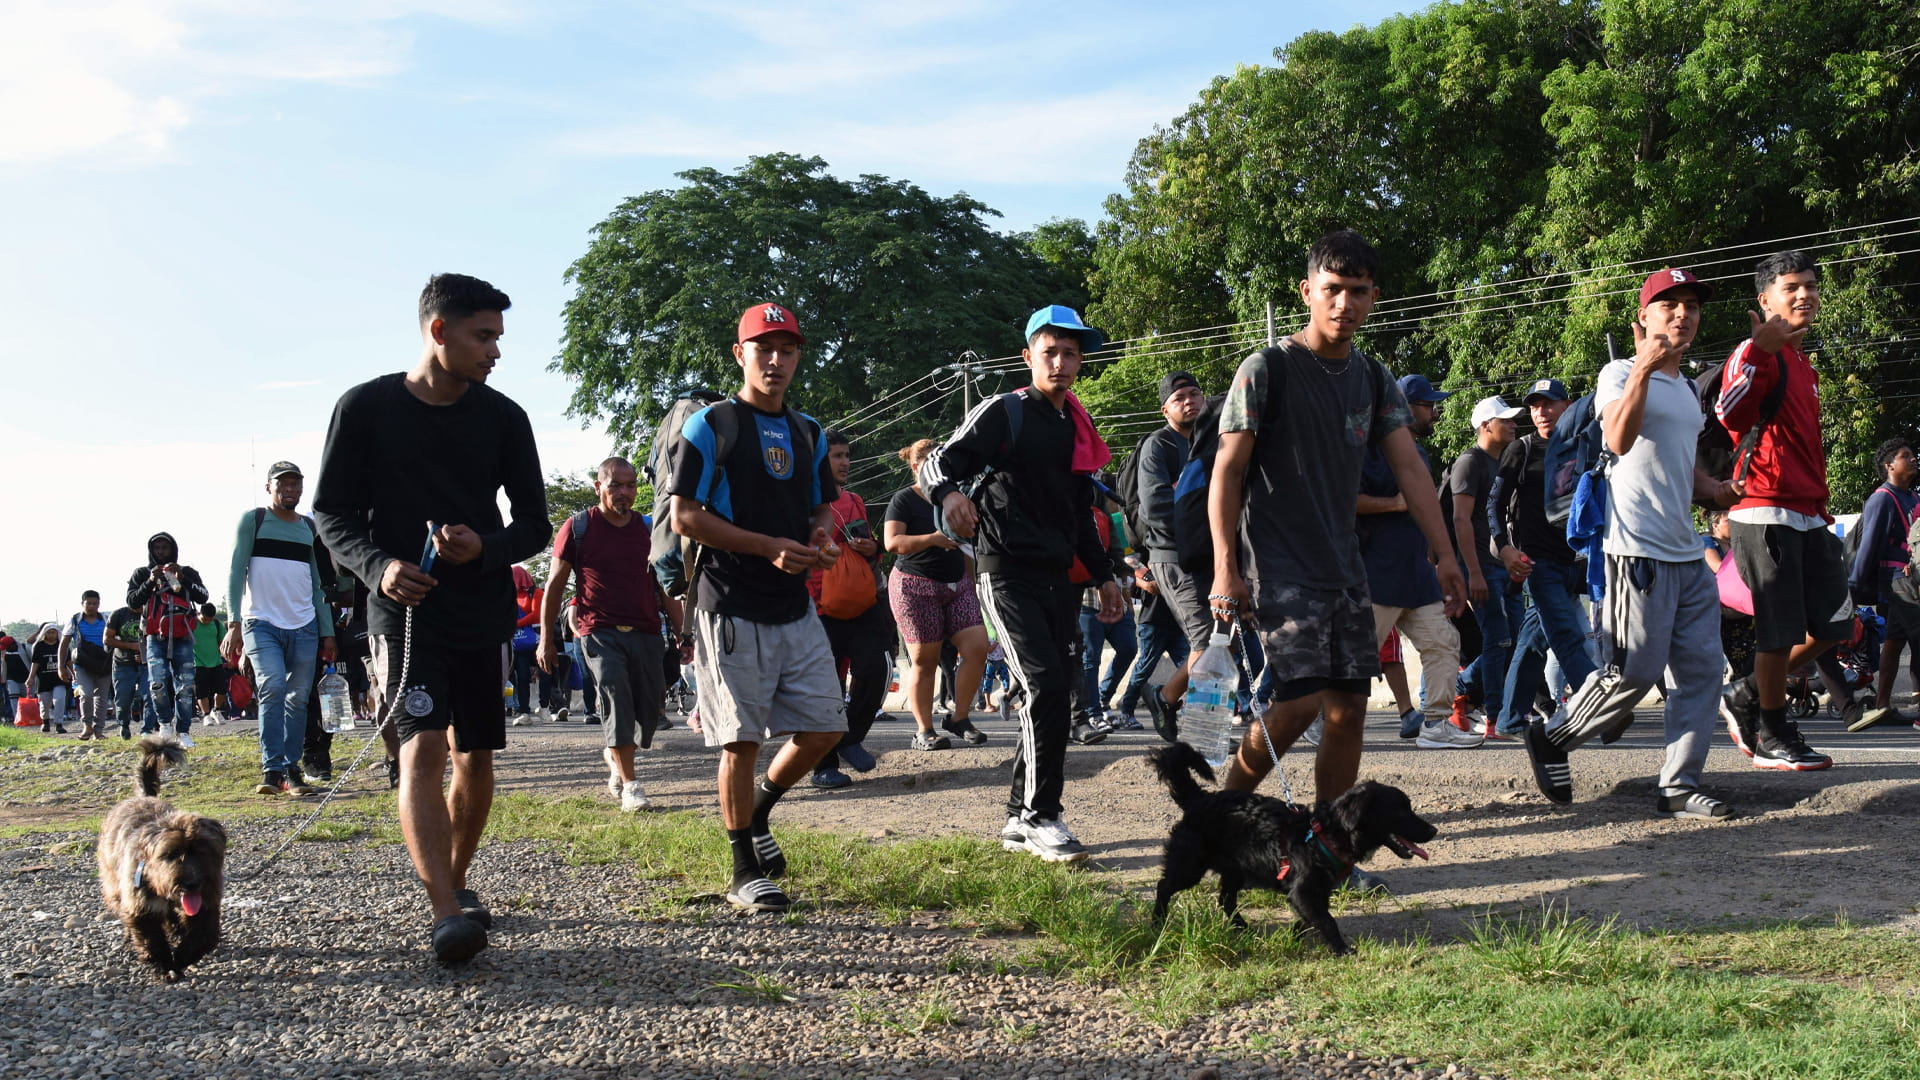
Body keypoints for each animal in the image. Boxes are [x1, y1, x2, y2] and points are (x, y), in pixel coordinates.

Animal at [99, 730, 226, 976]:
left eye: (202, 851)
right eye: (170, 854)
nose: (190, 883)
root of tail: (143, 796)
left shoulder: (207, 902)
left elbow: (202, 936)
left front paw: (183, 956)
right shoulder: (141, 906)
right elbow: (152, 939)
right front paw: (164, 965)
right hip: (114, 882)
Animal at [1144, 737, 1436, 949]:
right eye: (1401, 811)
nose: (1433, 830)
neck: (1325, 834)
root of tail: (1199, 799)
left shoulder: (1314, 891)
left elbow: (1311, 919)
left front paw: (1293, 938)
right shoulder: (1304, 890)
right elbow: (1327, 920)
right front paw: (1342, 949)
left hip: (1235, 869)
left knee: (1225, 899)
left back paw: (1242, 928)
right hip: (1190, 865)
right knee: (1164, 886)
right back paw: (1157, 923)